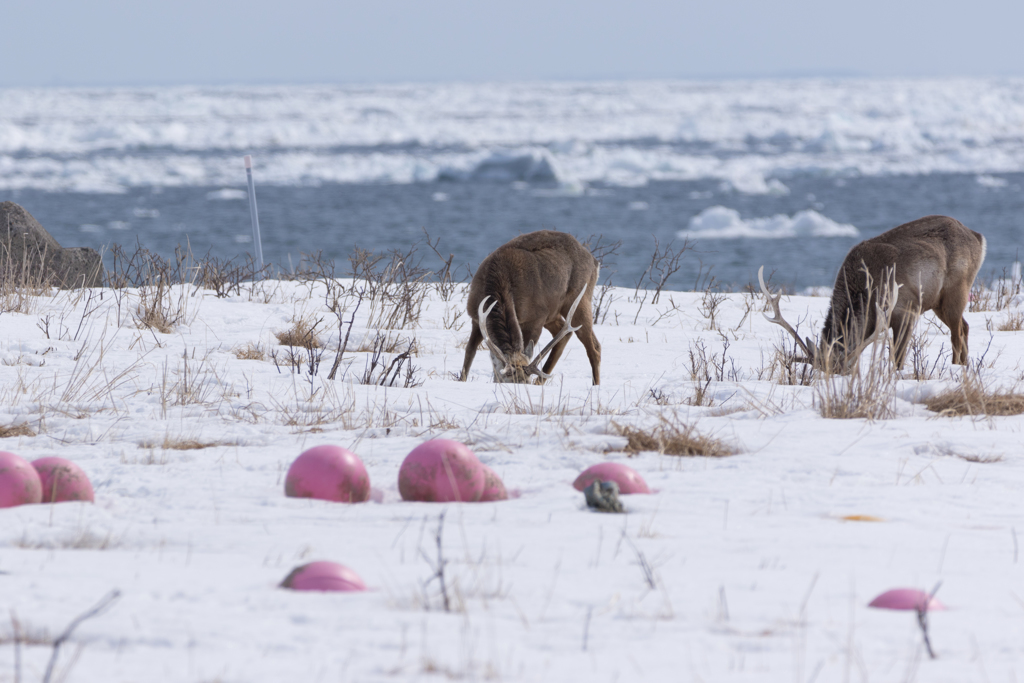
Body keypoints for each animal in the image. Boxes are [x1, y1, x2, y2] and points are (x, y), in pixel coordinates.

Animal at [458, 231, 598, 385]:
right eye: (507, 381)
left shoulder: (534, 320)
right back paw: (541, 381)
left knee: (593, 347)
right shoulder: (475, 317)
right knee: (565, 333)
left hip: (580, 300)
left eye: (526, 382)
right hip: (552, 313)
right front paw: (461, 379)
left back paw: (595, 385)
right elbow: (469, 353)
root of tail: (594, 260)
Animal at [761, 215, 983, 370]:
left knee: (957, 333)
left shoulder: (906, 308)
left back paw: (956, 367)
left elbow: (898, 356)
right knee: (965, 326)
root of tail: (978, 237)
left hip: (957, 290)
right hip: (938, 302)